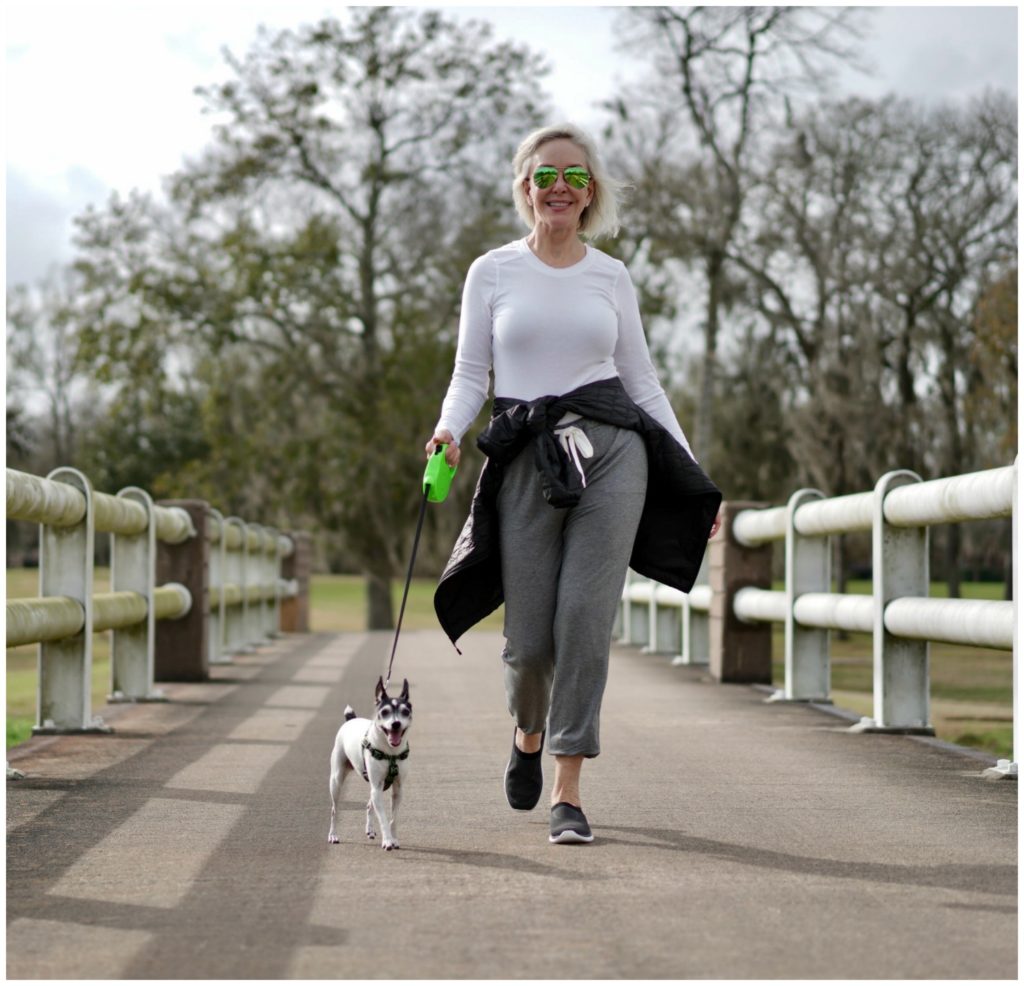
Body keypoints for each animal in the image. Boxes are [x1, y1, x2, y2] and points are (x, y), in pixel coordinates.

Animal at [325, 679, 409, 847]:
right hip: (336, 781)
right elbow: (383, 818)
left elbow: (393, 819)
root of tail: (351, 719)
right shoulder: (377, 787)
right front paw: (387, 841)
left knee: (370, 805)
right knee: (334, 810)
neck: (390, 752)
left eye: (405, 711)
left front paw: (394, 839)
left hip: (377, 786)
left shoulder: (397, 789)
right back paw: (333, 835)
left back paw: (369, 830)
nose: (396, 724)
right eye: (384, 712)